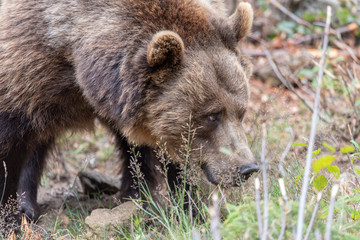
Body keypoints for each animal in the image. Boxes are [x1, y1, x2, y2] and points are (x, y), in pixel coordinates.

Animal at [0, 0, 258, 222]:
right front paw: (10, 214)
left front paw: (176, 205)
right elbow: (10, 144)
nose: (247, 168)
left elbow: (148, 152)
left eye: (242, 111)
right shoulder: (29, 66)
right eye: (212, 115)